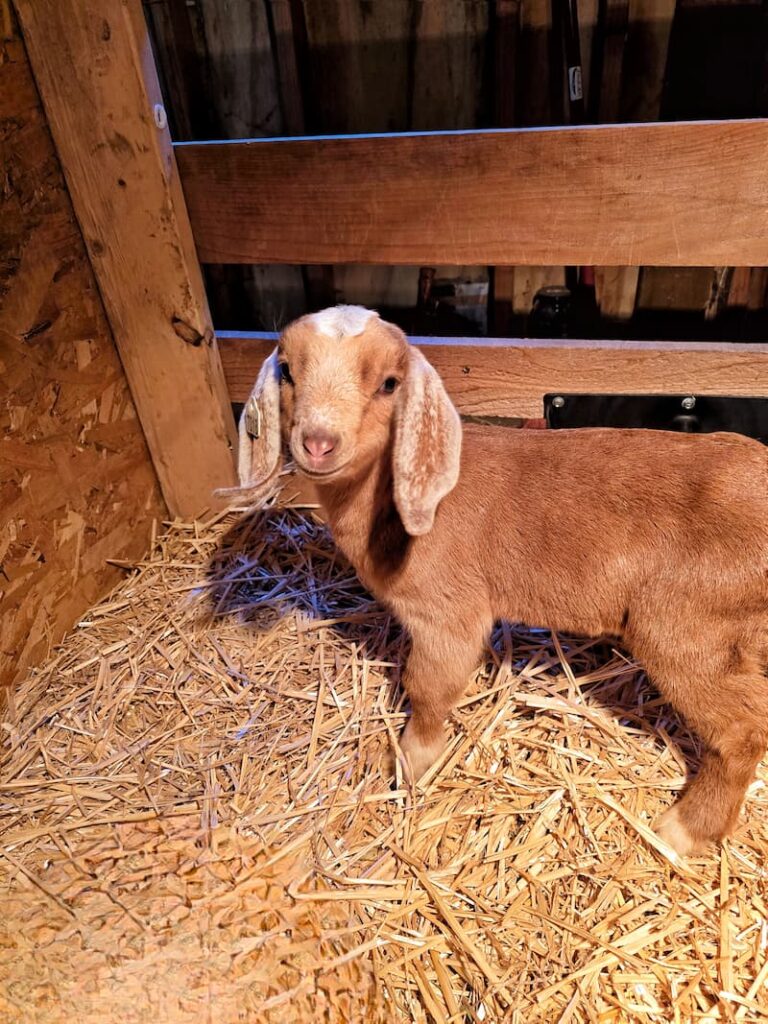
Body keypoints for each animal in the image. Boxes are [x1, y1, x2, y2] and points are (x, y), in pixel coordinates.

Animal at [234, 304, 768, 857]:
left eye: (388, 383)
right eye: (288, 371)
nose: (319, 443)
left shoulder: (447, 613)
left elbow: (427, 687)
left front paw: (411, 762)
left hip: (687, 625)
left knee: (743, 730)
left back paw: (681, 831)